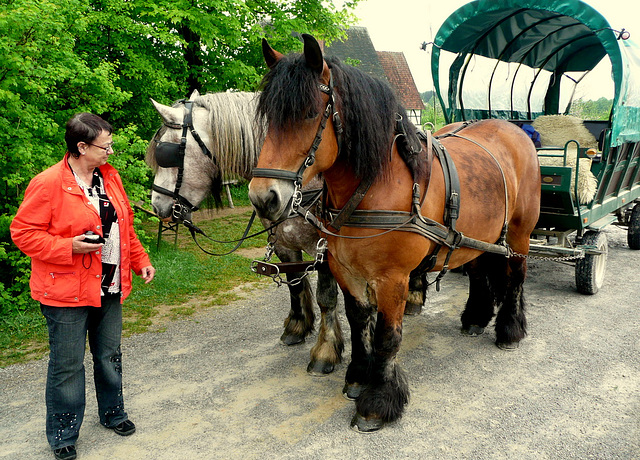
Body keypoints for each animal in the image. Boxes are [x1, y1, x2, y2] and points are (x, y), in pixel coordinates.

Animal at [249, 35, 540, 432]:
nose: (263, 197)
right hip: (477, 234)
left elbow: (387, 336)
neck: (374, 186)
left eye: (309, 113)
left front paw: (377, 402)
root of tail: (514, 129)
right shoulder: (346, 271)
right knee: (479, 270)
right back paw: (476, 318)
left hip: (520, 232)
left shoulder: (392, 279)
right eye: (268, 116)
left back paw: (510, 330)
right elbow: (358, 323)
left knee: (516, 276)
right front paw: (357, 376)